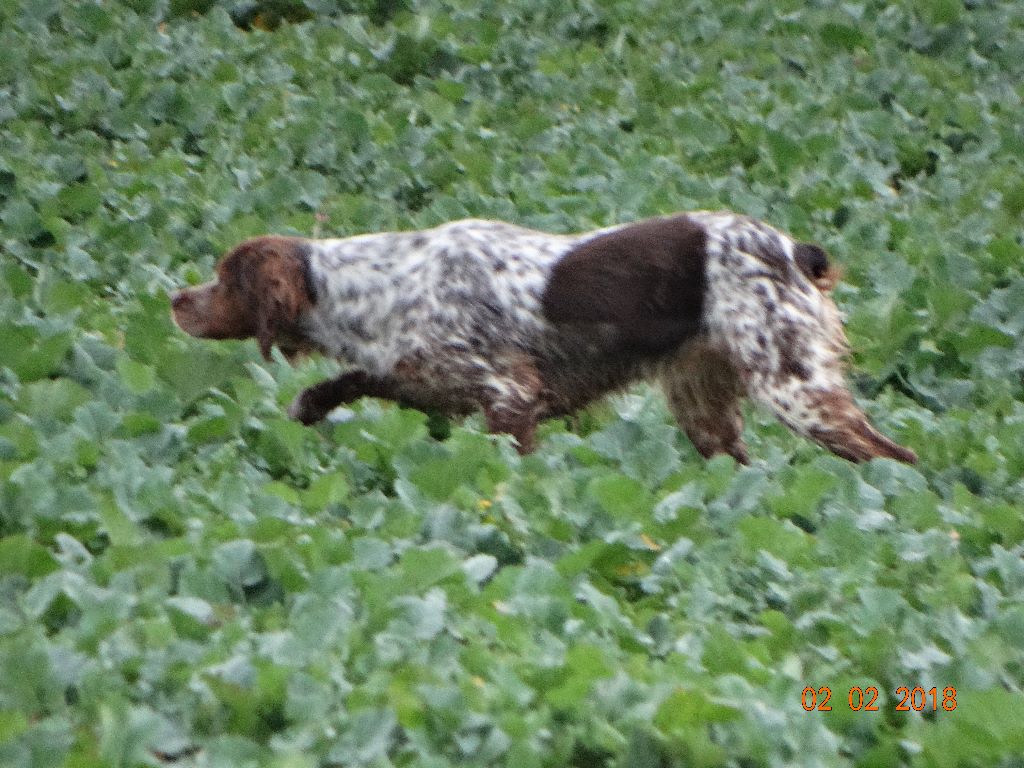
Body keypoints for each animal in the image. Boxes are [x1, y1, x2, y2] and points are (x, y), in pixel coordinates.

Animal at [172, 210, 917, 462]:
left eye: (223, 277)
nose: (176, 300)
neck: (378, 284)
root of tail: (793, 248)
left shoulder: (510, 393)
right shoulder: (428, 375)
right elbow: (360, 378)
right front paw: (308, 406)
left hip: (793, 387)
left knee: (891, 456)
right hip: (706, 407)